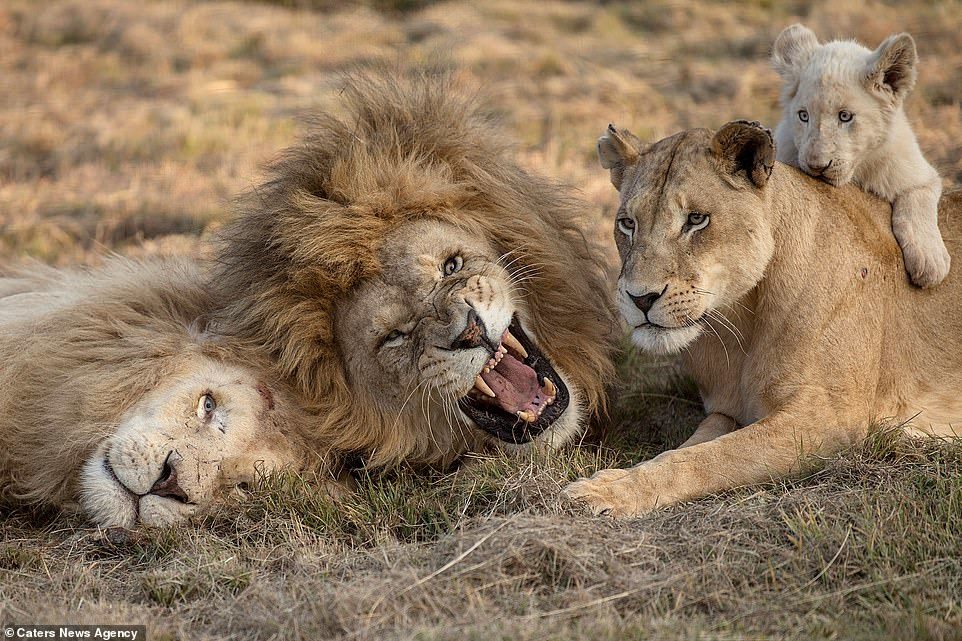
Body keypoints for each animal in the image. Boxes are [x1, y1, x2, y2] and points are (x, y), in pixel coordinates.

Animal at [564, 119, 960, 516]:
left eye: (696, 219)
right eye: (627, 223)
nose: (640, 298)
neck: (741, 321)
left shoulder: (829, 420)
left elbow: (707, 459)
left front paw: (610, 492)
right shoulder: (726, 410)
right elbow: (684, 450)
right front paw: (613, 480)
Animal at [768, 23, 948, 286]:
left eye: (845, 116)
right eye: (803, 115)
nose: (816, 166)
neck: (859, 172)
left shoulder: (917, 173)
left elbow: (917, 200)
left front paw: (930, 262)